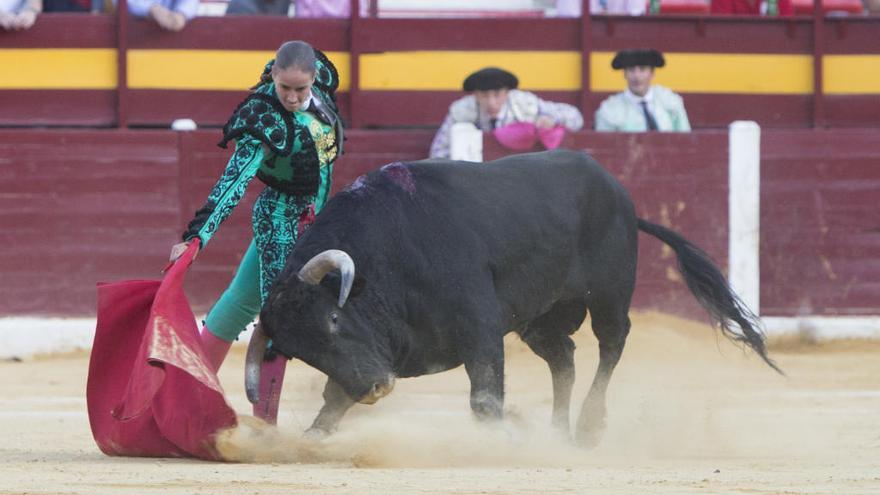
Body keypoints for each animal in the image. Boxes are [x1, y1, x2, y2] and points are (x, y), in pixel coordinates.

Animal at [244, 150, 780, 446]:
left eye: (333, 320)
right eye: (299, 354)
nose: (376, 389)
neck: (385, 254)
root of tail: (618, 192)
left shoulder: (478, 329)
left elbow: (485, 398)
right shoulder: (378, 354)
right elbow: (334, 399)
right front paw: (312, 436)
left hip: (608, 292)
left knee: (612, 343)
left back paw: (588, 427)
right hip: (539, 320)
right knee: (564, 358)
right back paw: (559, 434)